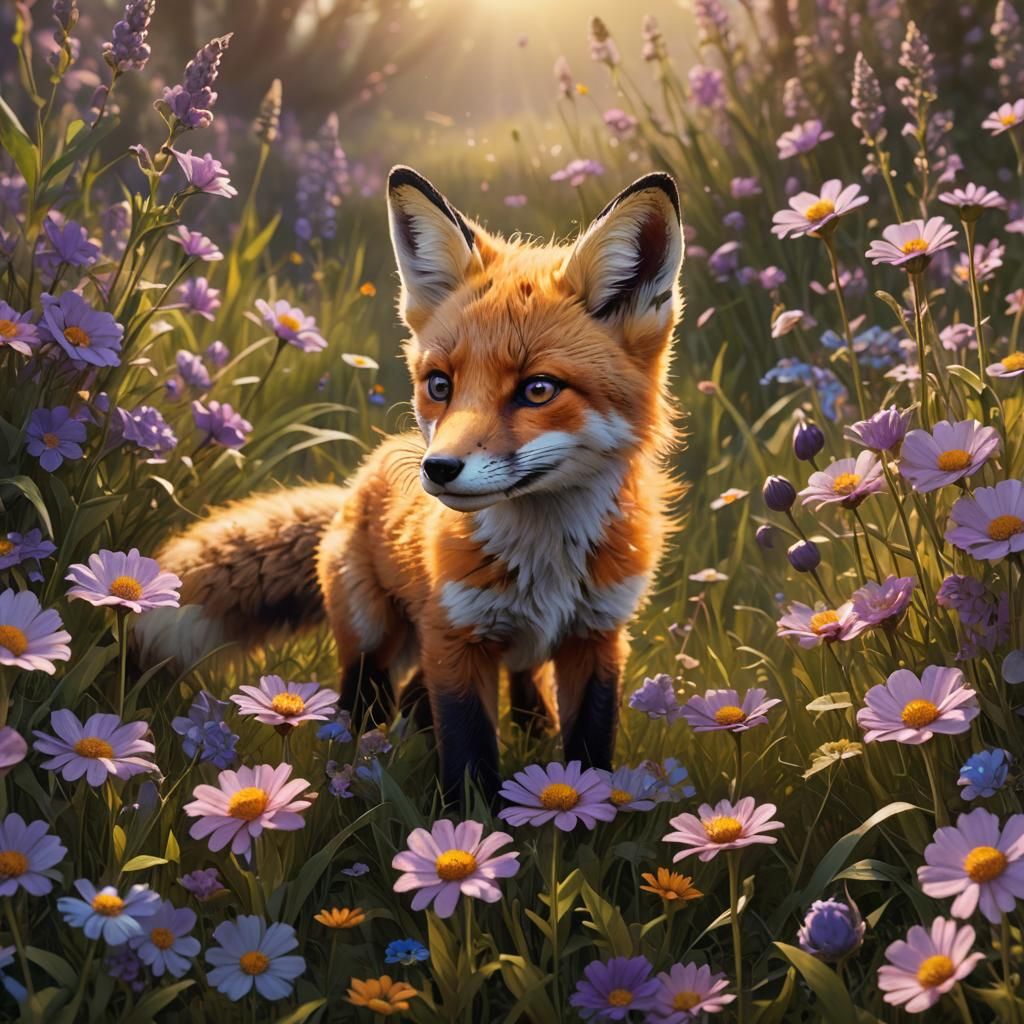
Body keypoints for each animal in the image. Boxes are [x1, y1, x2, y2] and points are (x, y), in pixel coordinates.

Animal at [142, 165, 685, 801]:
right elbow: (471, 760)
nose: (438, 469)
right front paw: (471, 825)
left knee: (504, 690)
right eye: (440, 385)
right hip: (374, 640)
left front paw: (582, 815)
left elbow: (590, 753)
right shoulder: (453, 638)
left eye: (538, 389)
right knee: (368, 707)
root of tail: (362, 476)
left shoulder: (597, 636)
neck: (545, 559)